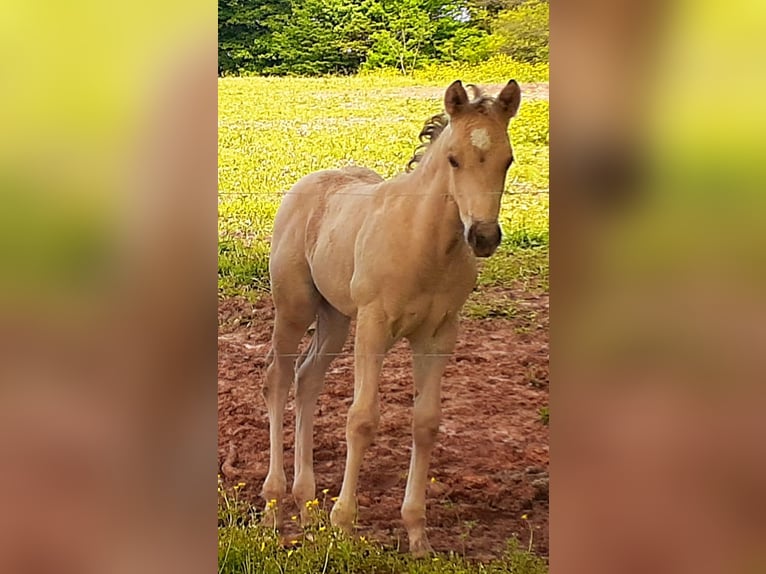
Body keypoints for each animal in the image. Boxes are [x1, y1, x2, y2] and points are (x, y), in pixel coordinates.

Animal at [262, 79, 520, 556]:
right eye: (453, 157)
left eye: (507, 159)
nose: (483, 236)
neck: (426, 243)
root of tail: (307, 183)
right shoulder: (374, 325)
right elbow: (362, 418)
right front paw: (344, 524)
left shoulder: (439, 335)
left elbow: (426, 423)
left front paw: (418, 534)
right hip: (294, 308)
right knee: (278, 378)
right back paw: (273, 505)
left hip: (335, 318)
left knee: (308, 379)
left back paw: (306, 504)